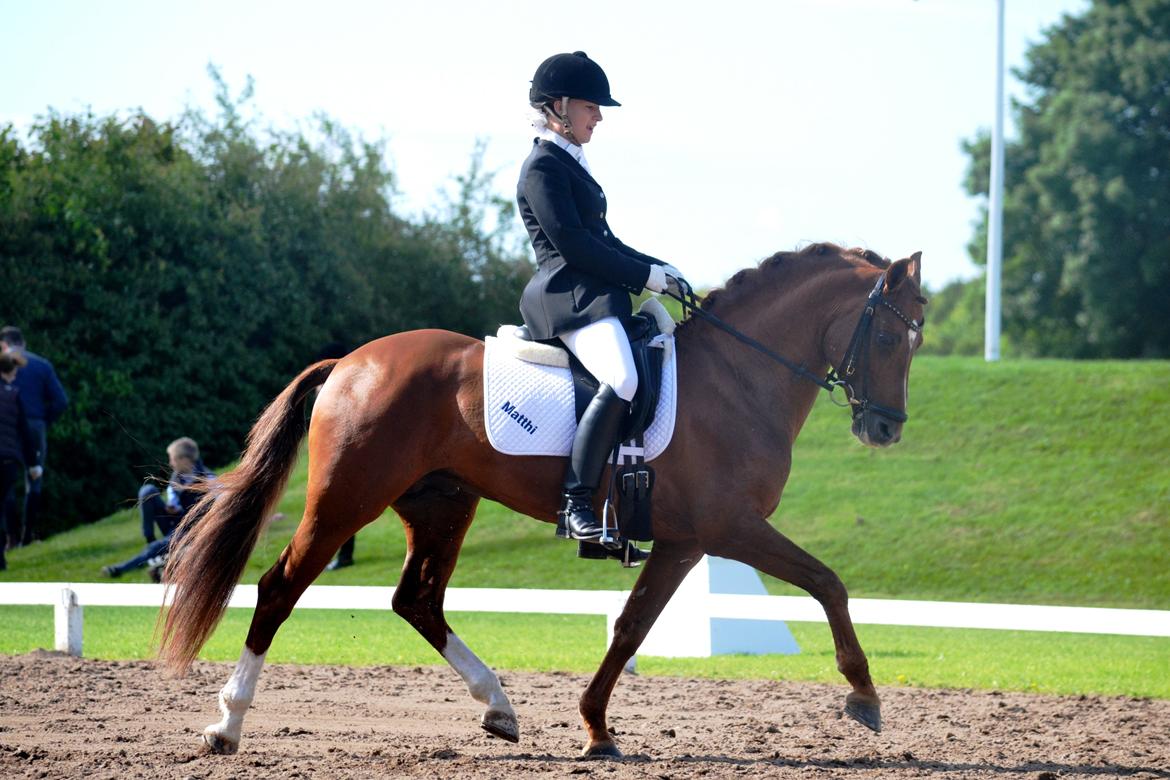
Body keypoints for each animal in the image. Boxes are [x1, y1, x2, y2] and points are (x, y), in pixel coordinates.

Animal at [157, 242, 921, 757]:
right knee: (279, 588)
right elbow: (827, 582)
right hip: (348, 499)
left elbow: (631, 627)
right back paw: (227, 724)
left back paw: (498, 708)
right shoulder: (728, 526)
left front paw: (596, 729)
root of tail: (350, 361)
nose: (885, 428)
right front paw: (863, 695)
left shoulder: (685, 540)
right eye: (887, 335)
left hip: (441, 505)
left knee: (417, 600)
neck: (740, 376)